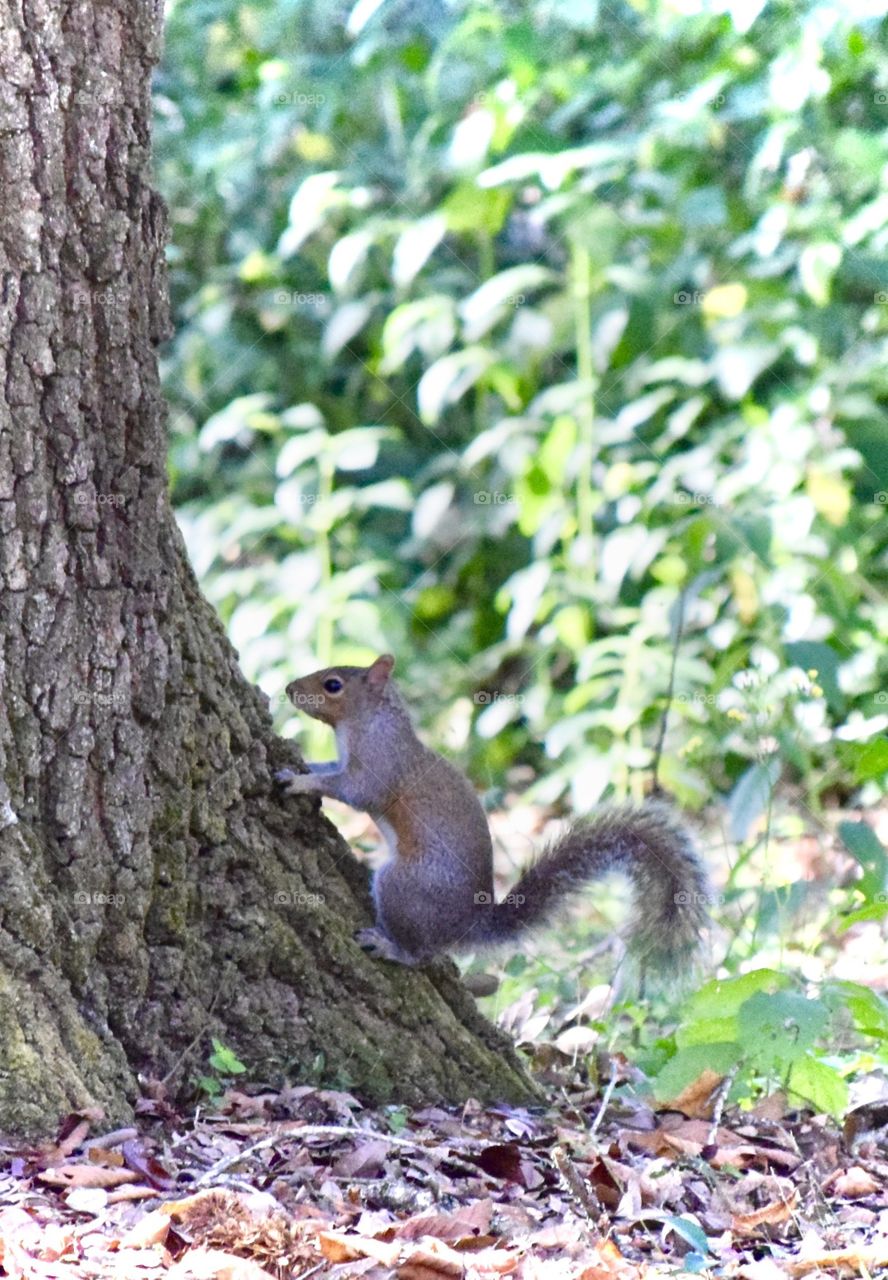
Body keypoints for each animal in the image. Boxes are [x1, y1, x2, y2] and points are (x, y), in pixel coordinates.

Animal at [275, 654, 709, 969]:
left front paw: (299, 782)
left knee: (420, 954)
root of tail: (469, 924)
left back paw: (391, 948)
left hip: (404, 885)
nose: (289, 688)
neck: (367, 723)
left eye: (333, 684)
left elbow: (353, 791)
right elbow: (329, 768)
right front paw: (303, 762)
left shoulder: (380, 766)